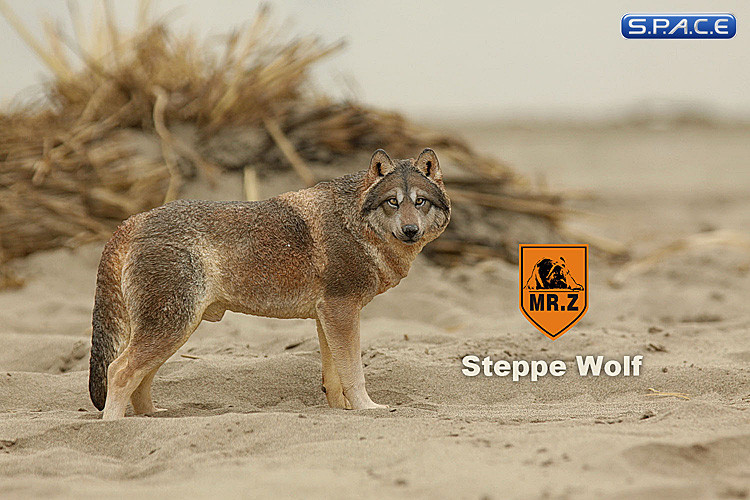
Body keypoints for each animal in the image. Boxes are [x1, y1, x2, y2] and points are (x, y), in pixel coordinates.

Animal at [89, 148, 450, 419]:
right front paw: (367, 409)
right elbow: (353, 374)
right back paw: (114, 426)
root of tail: (133, 220)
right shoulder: (342, 311)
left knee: (140, 380)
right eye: (393, 202)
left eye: (420, 202)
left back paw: (152, 417)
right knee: (118, 372)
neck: (357, 226)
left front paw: (341, 412)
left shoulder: (328, 316)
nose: (410, 230)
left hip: (174, 331)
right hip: (172, 328)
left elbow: (334, 380)